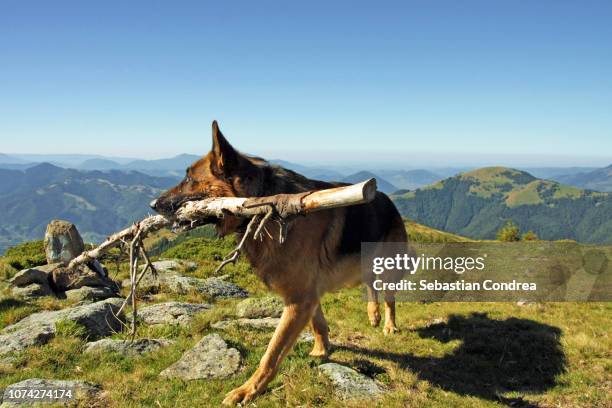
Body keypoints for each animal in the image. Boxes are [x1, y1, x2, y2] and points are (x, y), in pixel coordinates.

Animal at [151, 121, 406, 404]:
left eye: (189, 179)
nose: (153, 204)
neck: (261, 201)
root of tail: (386, 198)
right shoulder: (306, 296)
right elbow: (318, 323)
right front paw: (321, 350)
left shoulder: (299, 299)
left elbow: (272, 354)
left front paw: (248, 390)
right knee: (370, 284)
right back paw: (373, 315)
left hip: (389, 266)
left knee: (389, 297)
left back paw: (389, 325)